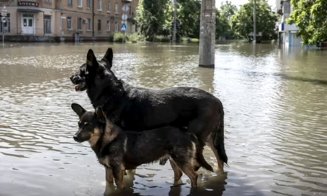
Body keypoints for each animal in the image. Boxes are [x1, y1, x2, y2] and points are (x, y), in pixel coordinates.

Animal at [70, 47, 228, 172]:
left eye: (81, 71)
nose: (71, 77)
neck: (111, 93)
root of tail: (218, 101)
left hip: (199, 137)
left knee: (199, 164)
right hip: (210, 137)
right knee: (220, 158)